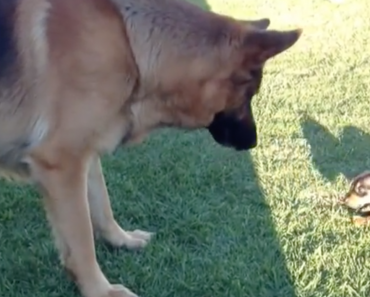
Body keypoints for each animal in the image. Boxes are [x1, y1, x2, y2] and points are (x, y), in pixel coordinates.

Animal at [0, 0, 300, 294]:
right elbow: (82, 241)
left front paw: (120, 239)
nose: (253, 142)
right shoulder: (62, 164)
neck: (130, 48)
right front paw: (101, 290)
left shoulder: (85, 154)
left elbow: (101, 204)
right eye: (250, 93)